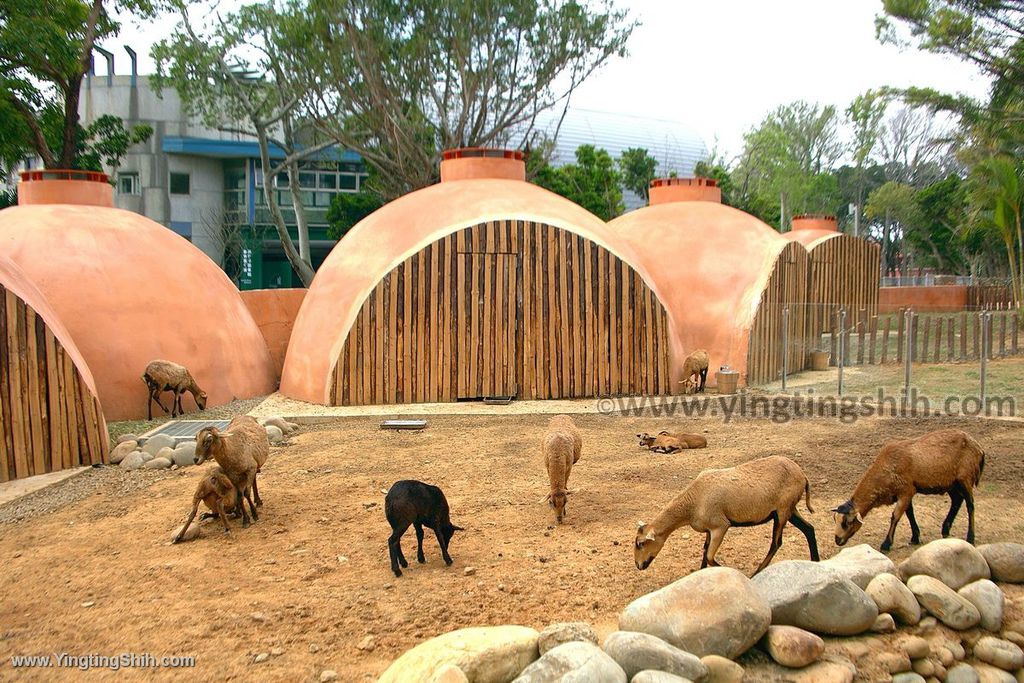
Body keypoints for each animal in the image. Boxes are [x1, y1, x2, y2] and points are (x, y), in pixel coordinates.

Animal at [634, 454, 819, 577]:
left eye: (641, 543)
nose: (638, 565)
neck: (691, 504)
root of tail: (802, 475)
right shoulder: (709, 530)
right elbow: (704, 552)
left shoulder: (720, 526)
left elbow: (709, 556)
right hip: (789, 509)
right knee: (809, 529)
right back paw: (816, 561)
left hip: (782, 510)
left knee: (776, 543)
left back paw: (755, 573)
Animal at [831, 430, 983, 552]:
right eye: (835, 520)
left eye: (847, 522)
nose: (837, 540)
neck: (886, 469)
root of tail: (978, 447)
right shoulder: (905, 492)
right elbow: (909, 513)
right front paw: (915, 537)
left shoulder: (906, 491)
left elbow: (895, 516)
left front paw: (886, 544)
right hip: (950, 483)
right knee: (957, 501)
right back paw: (945, 530)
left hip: (965, 478)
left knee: (970, 505)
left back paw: (970, 538)